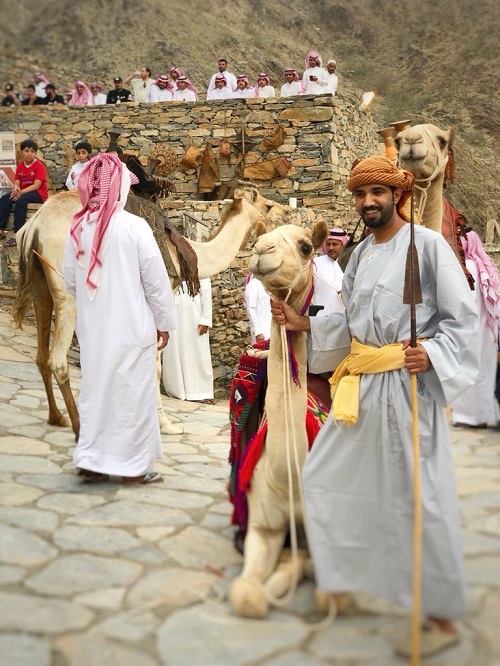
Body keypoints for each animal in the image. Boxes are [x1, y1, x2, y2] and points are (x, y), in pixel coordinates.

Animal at [13, 186, 288, 439]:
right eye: (267, 205)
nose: (286, 213)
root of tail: (35, 225)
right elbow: (154, 366)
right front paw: (164, 425)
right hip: (68, 290)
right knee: (57, 360)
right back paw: (79, 427)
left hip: (40, 287)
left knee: (41, 354)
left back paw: (57, 417)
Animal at [228, 221, 330, 619]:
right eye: (259, 237)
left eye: (305, 247)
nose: (261, 249)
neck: (289, 474)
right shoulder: (264, 524)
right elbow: (247, 596)